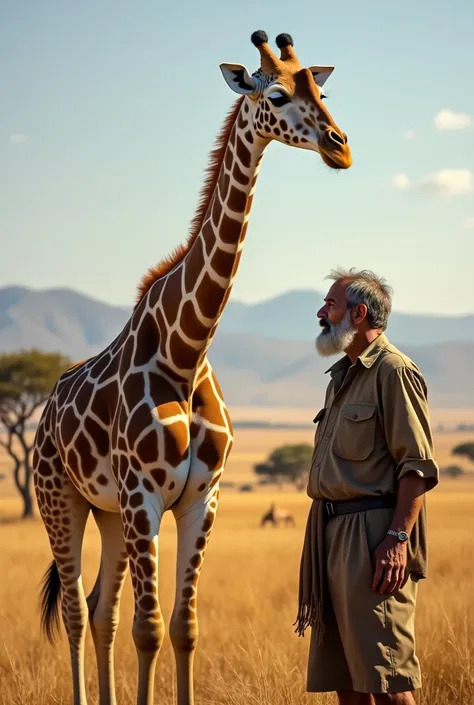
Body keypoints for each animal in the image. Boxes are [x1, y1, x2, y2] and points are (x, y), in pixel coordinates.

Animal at [33, 30, 352, 704]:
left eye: (323, 91)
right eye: (276, 94)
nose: (341, 147)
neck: (188, 347)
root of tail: (44, 412)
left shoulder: (199, 499)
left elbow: (183, 628)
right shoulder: (143, 496)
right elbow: (150, 629)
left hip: (107, 512)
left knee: (101, 608)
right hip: (61, 499)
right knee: (75, 610)